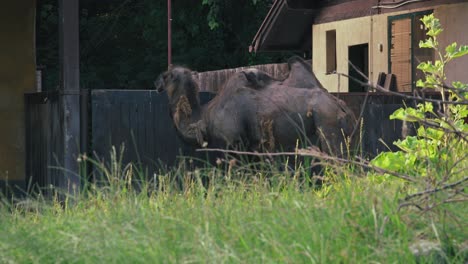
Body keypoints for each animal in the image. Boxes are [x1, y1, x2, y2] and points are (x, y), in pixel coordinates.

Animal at [155, 56, 356, 156]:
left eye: (166, 75)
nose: (156, 83)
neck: (206, 114)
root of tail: (342, 107)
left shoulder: (233, 140)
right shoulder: (253, 142)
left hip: (328, 125)